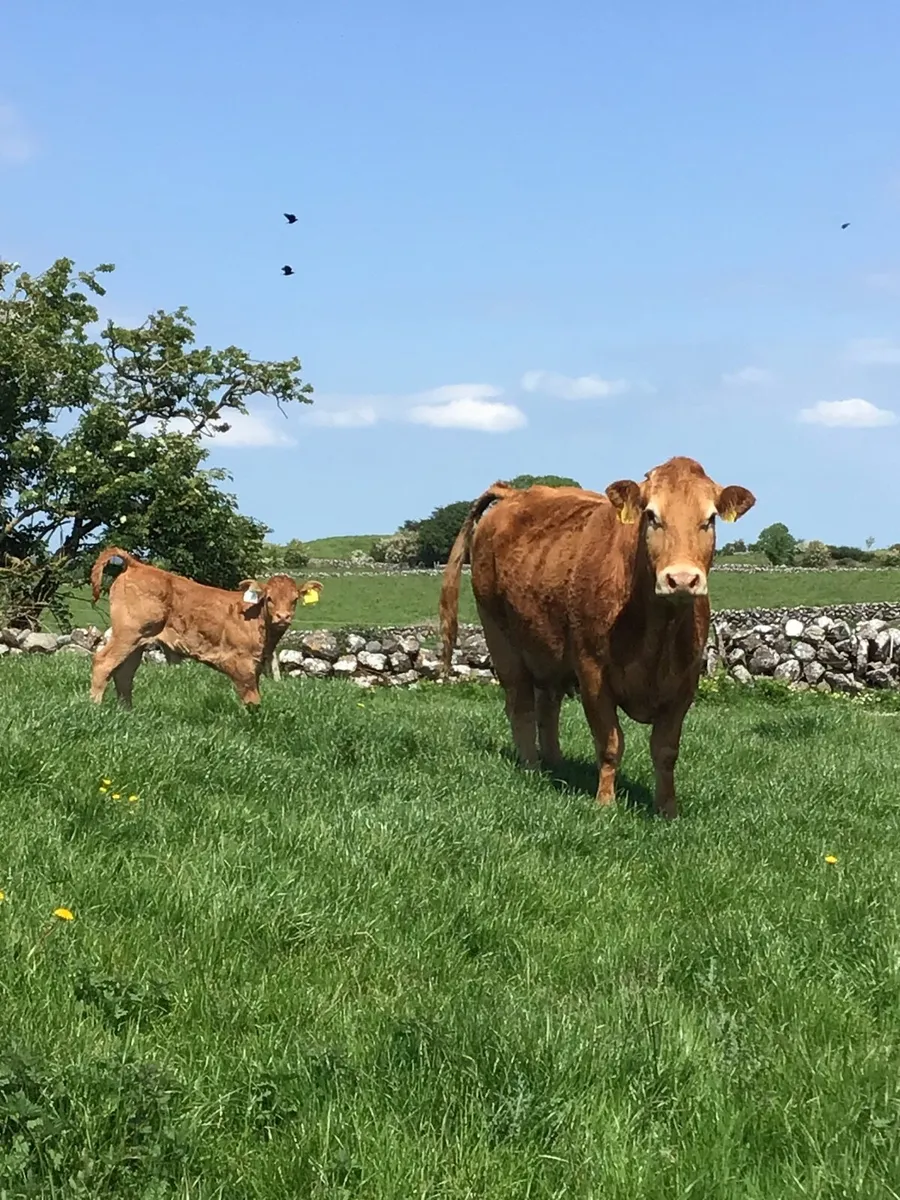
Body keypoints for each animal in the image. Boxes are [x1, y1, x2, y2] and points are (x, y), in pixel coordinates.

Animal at [89, 547, 323, 708]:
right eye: (269, 598)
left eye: (294, 599)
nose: (283, 616)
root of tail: (137, 565)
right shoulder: (241, 663)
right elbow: (252, 700)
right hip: (127, 633)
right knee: (103, 663)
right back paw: (94, 707)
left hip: (138, 640)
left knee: (124, 673)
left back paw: (126, 711)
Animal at [439, 457, 755, 819]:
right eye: (651, 515)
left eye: (710, 519)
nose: (682, 579)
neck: (656, 636)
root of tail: (513, 493)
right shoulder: (593, 675)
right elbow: (610, 742)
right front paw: (605, 803)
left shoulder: (684, 685)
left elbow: (665, 750)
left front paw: (667, 809)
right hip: (500, 637)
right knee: (521, 706)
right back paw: (532, 767)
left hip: (547, 647)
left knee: (548, 706)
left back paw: (556, 764)